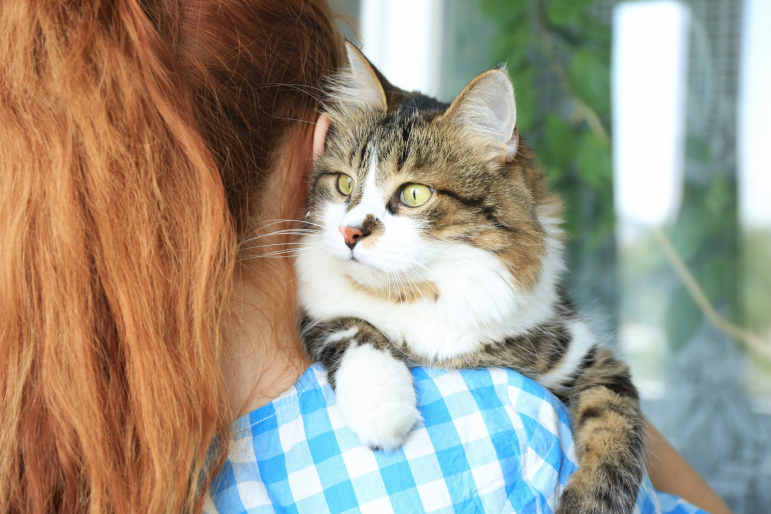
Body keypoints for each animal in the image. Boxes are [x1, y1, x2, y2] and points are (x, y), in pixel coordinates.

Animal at [296, 43, 644, 512]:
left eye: (415, 194)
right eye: (344, 184)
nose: (349, 233)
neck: (426, 292)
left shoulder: (589, 361)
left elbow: (615, 435)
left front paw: (588, 502)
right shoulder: (316, 312)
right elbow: (353, 330)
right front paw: (385, 410)